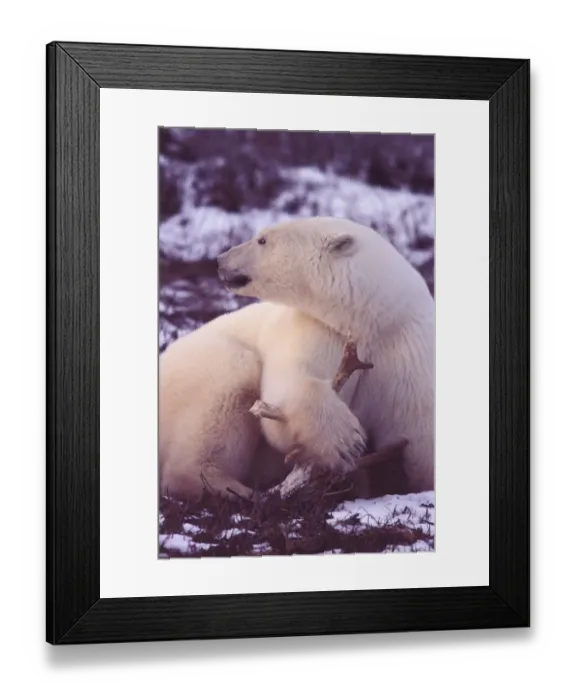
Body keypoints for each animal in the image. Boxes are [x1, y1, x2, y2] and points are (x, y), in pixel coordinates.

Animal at [159, 216, 434, 504]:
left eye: (262, 239)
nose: (220, 259)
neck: (374, 321)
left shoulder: (405, 353)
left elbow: (418, 432)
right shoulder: (316, 330)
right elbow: (286, 388)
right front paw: (346, 441)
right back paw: (236, 489)